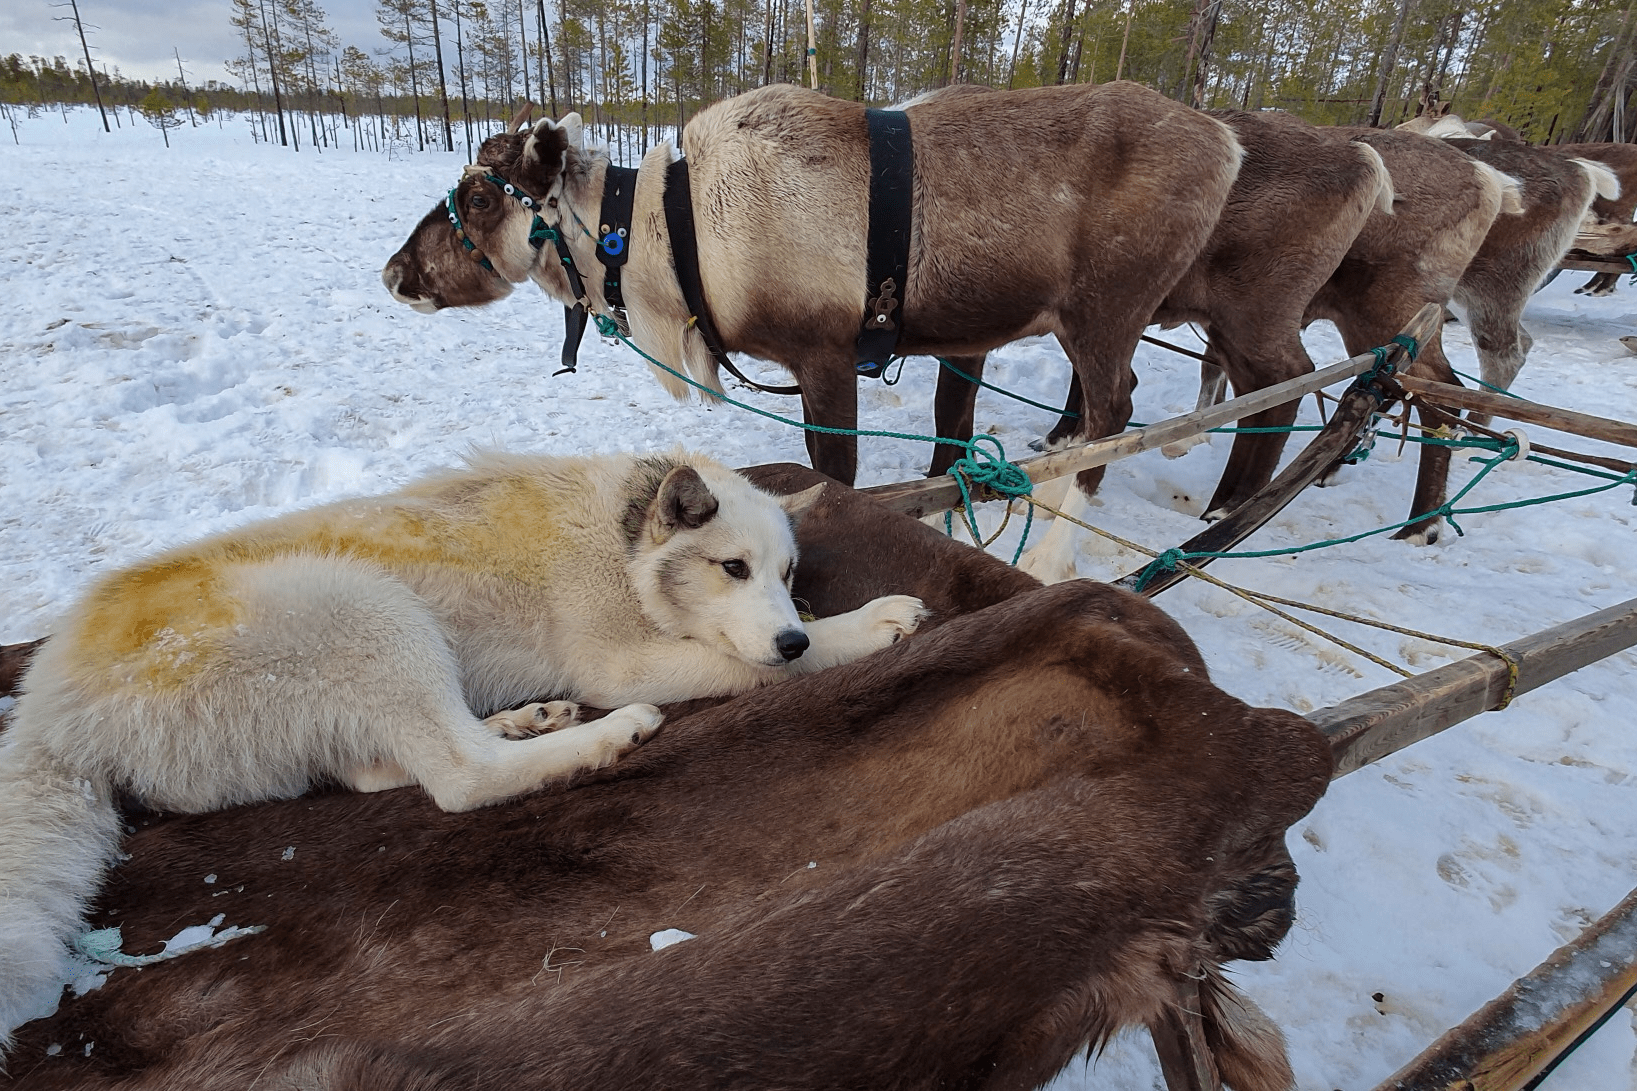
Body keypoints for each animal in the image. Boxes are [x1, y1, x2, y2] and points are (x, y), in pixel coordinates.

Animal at [0, 448, 929, 1048]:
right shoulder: (625, 660)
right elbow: (757, 667)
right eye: (732, 567)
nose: (788, 636)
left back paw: (529, 719)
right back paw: (601, 734)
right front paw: (857, 627)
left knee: (383, 770)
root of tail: (49, 710)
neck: (621, 531)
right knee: (456, 779)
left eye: (786, 572)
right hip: (367, 605)